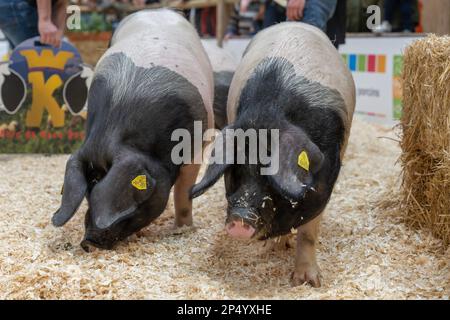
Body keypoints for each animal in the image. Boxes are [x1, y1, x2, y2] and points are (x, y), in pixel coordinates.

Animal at [52, 9, 214, 250]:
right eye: (88, 190)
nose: (88, 242)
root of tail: (155, 10)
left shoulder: (197, 147)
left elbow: (183, 193)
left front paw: (184, 229)